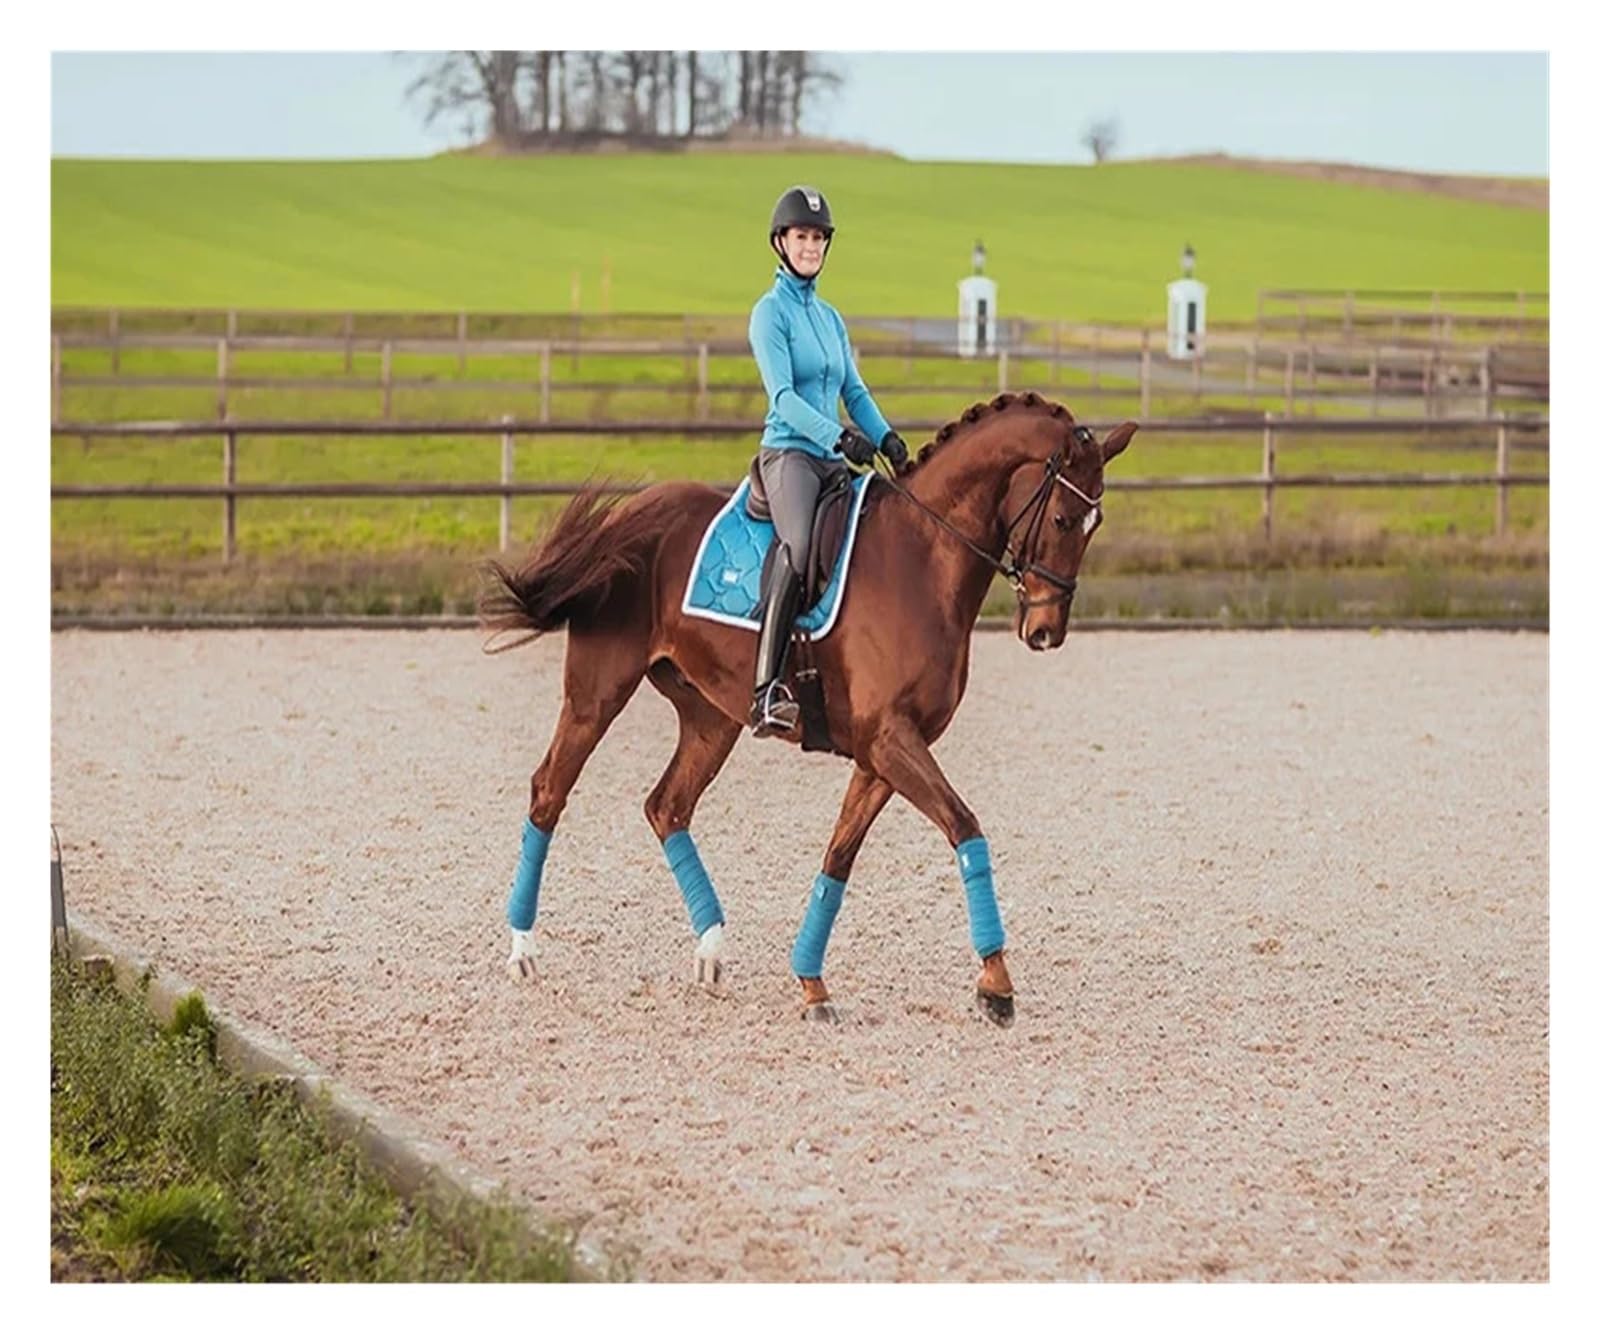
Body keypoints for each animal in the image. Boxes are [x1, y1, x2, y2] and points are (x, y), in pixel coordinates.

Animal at [479, 391, 1137, 1026]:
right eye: (1061, 518)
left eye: (1097, 523)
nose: (1046, 632)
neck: (923, 558)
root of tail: (628, 516)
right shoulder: (890, 740)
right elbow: (965, 828)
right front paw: (996, 984)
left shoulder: (882, 754)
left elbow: (839, 857)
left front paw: (812, 985)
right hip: (597, 694)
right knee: (549, 792)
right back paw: (522, 952)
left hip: (712, 719)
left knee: (667, 806)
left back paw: (712, 953)